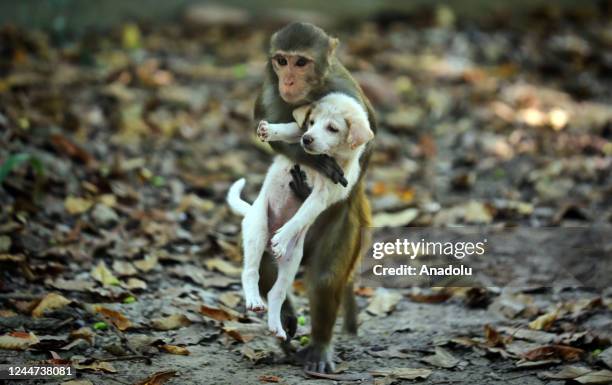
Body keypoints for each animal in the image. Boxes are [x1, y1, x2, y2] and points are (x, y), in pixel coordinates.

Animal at [226, 93, 372, 340]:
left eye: (332, 128)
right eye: (311, 123)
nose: (308, 139)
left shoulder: (319, 198)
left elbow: (299, 219)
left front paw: (282, 238)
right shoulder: (300, 135)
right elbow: (293, 128)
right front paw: (271, 130)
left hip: (291, 260)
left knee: (274, 292)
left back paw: (276, 325)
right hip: (258, 230)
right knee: (249, 272)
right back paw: (255, 300)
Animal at [252, 21, 376, 372]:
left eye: (301, 62)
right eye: (281, 61)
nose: (288, 80)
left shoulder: (347, 93)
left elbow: (365, 146)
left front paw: (319, 166)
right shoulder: (270, 90)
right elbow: (275, 134)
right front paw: (310, 156)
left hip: (344, 225)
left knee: (324, 276)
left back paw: (319, 345)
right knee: (265, 266)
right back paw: (284, 319)